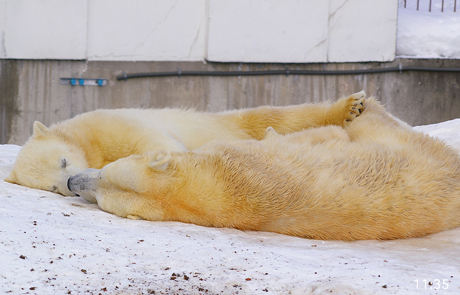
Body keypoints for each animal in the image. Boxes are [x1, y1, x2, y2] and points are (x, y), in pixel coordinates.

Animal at [3, 94, 362, 197]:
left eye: (63, 161)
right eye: (52, 187)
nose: (67, 182)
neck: (87, 140)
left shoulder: (110, 124)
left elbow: (155, 141)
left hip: (227, 122)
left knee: (272, 117)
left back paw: (350, 107)